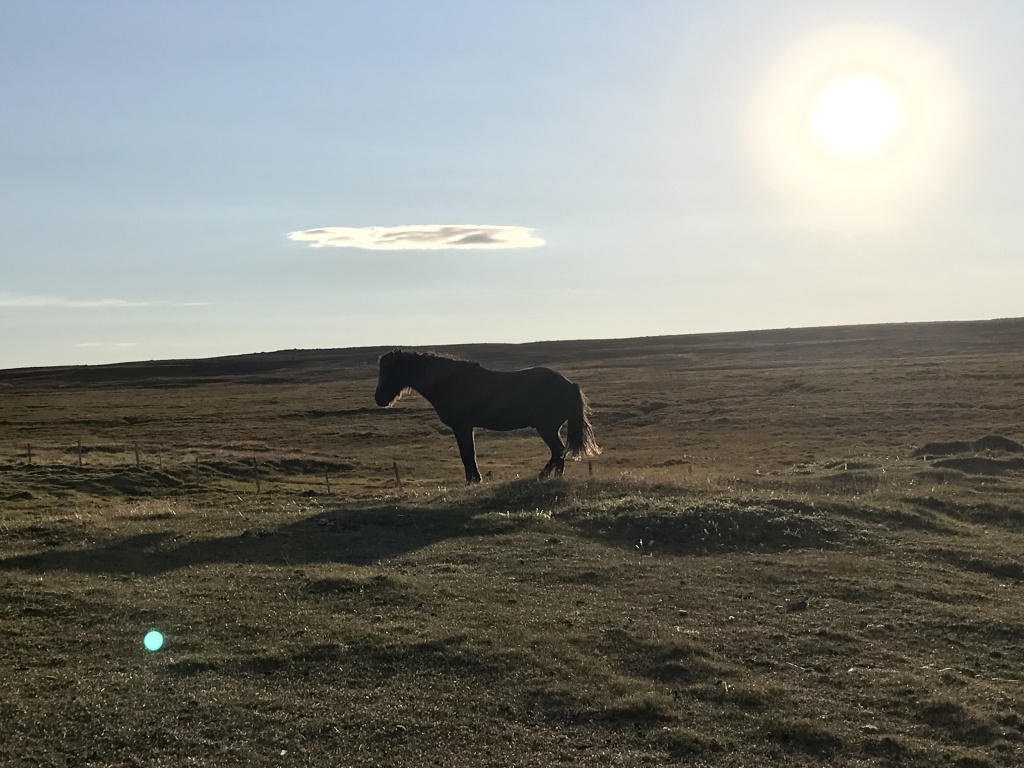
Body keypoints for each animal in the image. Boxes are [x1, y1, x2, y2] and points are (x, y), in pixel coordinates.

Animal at [374, 349, 600, 483]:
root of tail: (569, 385)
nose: (379, 399)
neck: (451, 383)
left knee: (558, 451)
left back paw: (544, 476)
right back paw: (553, 477)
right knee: (558, 452)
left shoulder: (462, 427)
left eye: (391, 371)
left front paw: (473, 481)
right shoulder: (464, 428)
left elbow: (468, 454)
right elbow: (467, 455)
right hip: (550, 428)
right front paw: (473, 481)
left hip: (546, 428)